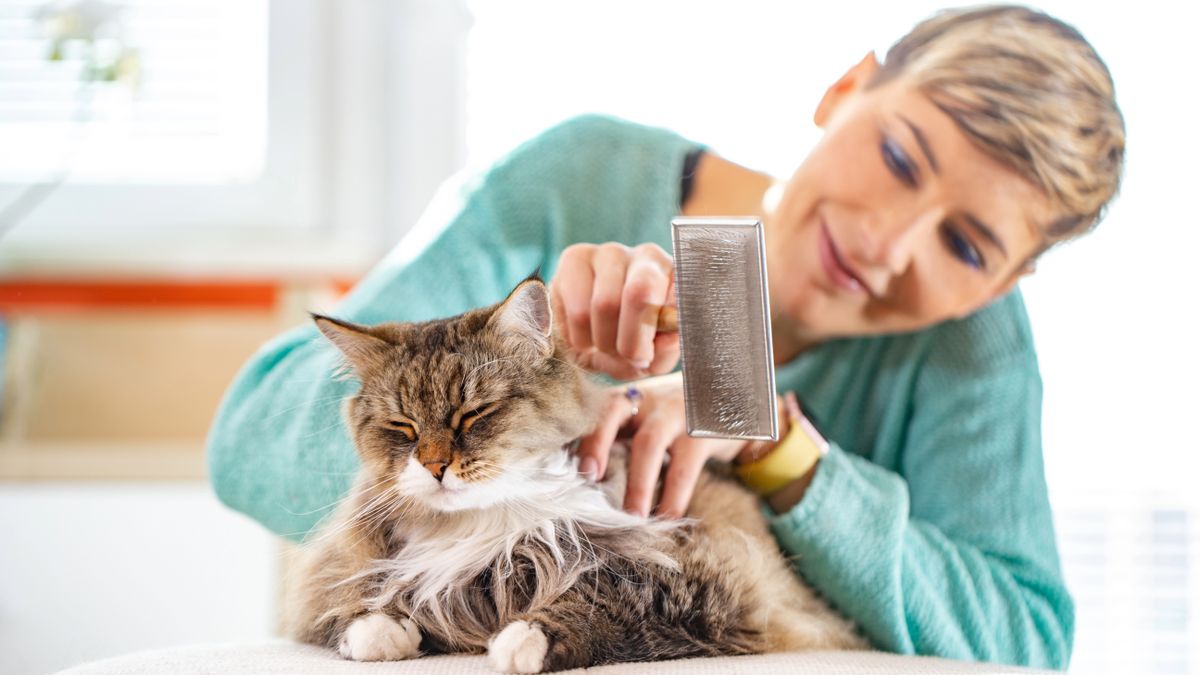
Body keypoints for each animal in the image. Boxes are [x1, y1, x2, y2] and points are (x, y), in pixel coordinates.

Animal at [285, 275, 868, 672]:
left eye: (473, 414)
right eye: (402, 427)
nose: (433, 467)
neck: (484, 525)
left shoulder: (707, 574)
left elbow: (605, 598)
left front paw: (522, 640)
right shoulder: (346, 569)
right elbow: (357, 601)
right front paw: (379, 630)